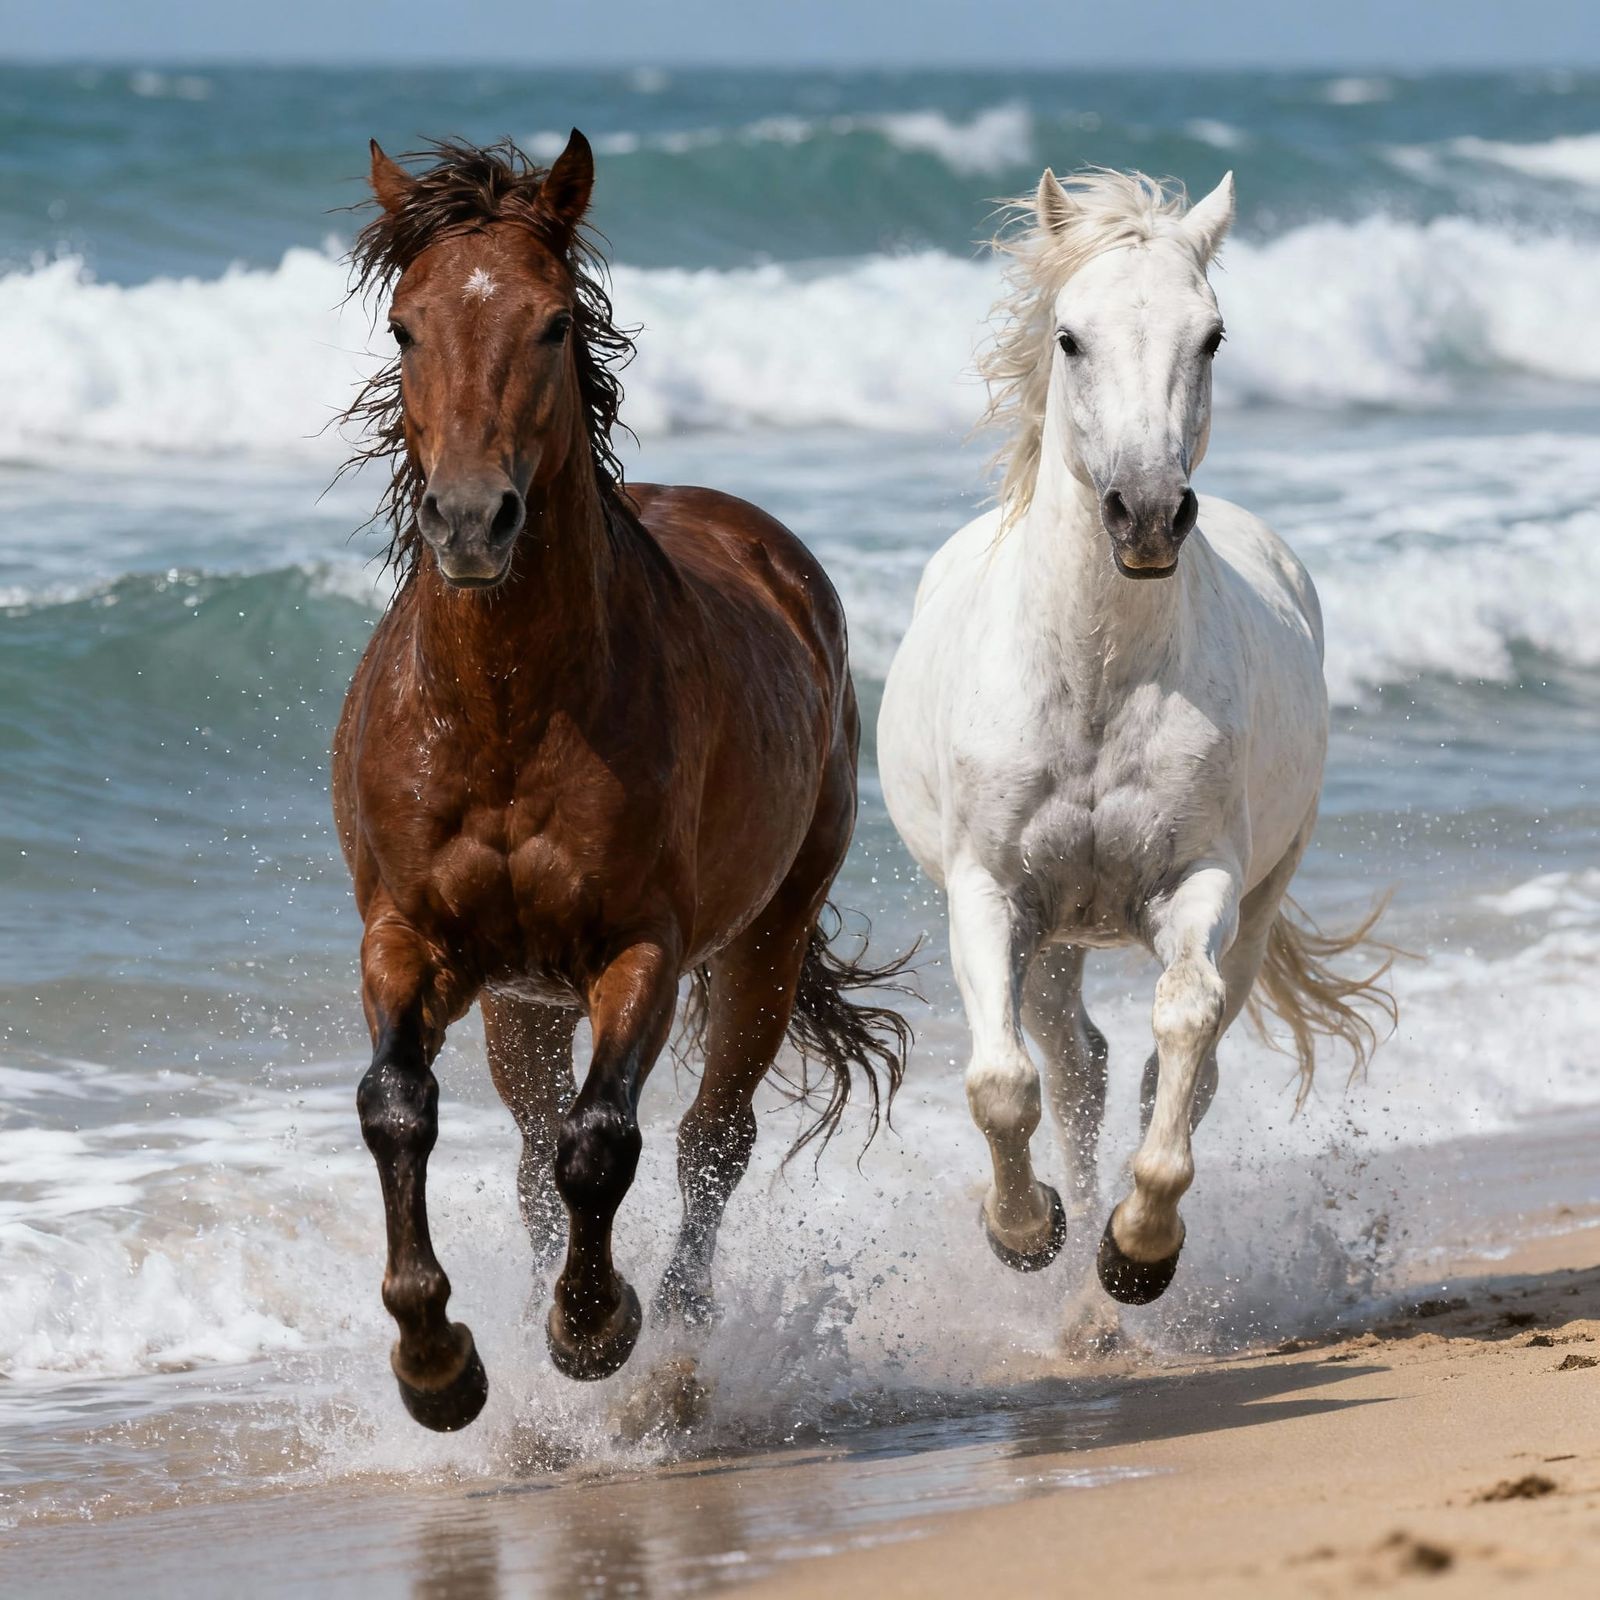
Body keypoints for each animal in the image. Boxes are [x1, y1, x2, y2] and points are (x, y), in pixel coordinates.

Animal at [330, 132, 908, 1431]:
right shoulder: (408, 938)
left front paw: (594, 1329)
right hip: (518, 1003)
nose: (470, 521)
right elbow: (398, 1105)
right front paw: (436, 1364)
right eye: (403, 325)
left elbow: (603, 1142)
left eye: (551, 322)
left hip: (763, 942)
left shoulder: (640, 946)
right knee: (533, 1153)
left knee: (709, 1141)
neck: (504, 714)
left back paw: (682, 1345)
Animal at [877, 169, 1393, 1321]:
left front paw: (1136, 1248)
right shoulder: (992, 893)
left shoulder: (1200, 882)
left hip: (1253, 900)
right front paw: (1025, 1234)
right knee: (1074, 1068)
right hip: (1056, 935)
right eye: (1070, 337)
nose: (1148, 516)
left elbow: (1185, 1032)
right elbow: (1003, 1082)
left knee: (1167, 1063)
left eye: (1212, 336)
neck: (1095, 678)